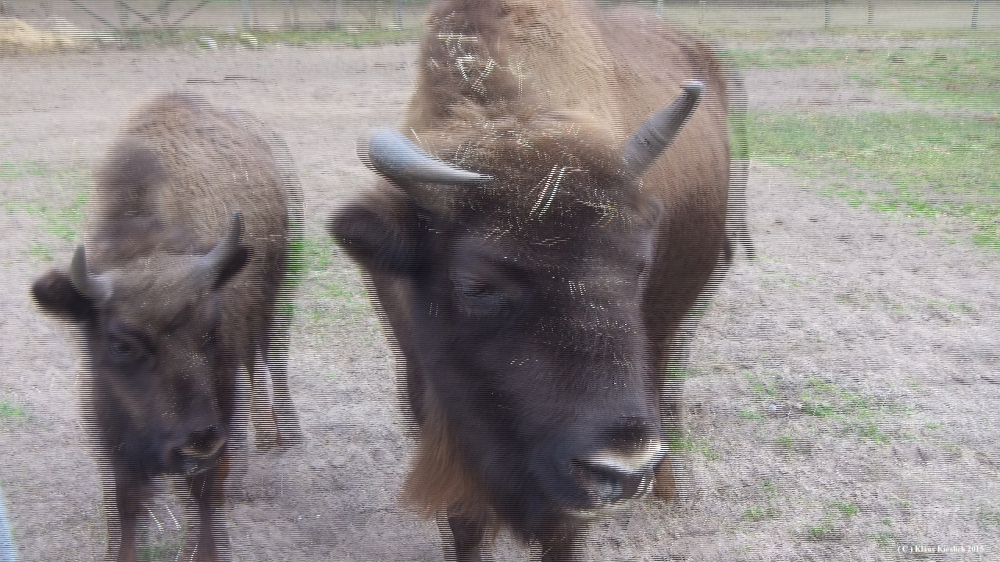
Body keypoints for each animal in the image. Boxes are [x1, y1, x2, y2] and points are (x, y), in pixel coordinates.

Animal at [31, 93, 304, 560]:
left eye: (212, 329)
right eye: (120, 344)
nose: (197, 442)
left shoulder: (220, 404)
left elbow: (207, 494)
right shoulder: (111, 428)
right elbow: (125, 505)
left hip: (282, 289)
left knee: (274, 355)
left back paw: (286, 435)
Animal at [332, 1, 748, 556]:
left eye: (637, 264)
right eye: (477, 285)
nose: (622, 468)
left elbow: (563, 528)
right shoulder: (432, 396)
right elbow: (464, 518)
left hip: (697, 279)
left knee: (668, 367)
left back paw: (676, 485)